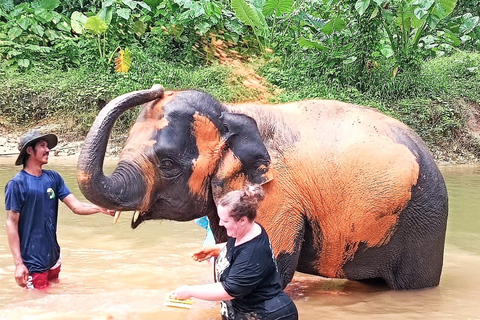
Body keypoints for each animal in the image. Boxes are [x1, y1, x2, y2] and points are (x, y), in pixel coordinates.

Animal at [77, 84, 448, 290]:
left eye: (167, 164)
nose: (156, 87)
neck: (232, 113)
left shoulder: (276, 195)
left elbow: (268, 269)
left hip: (422, 222)